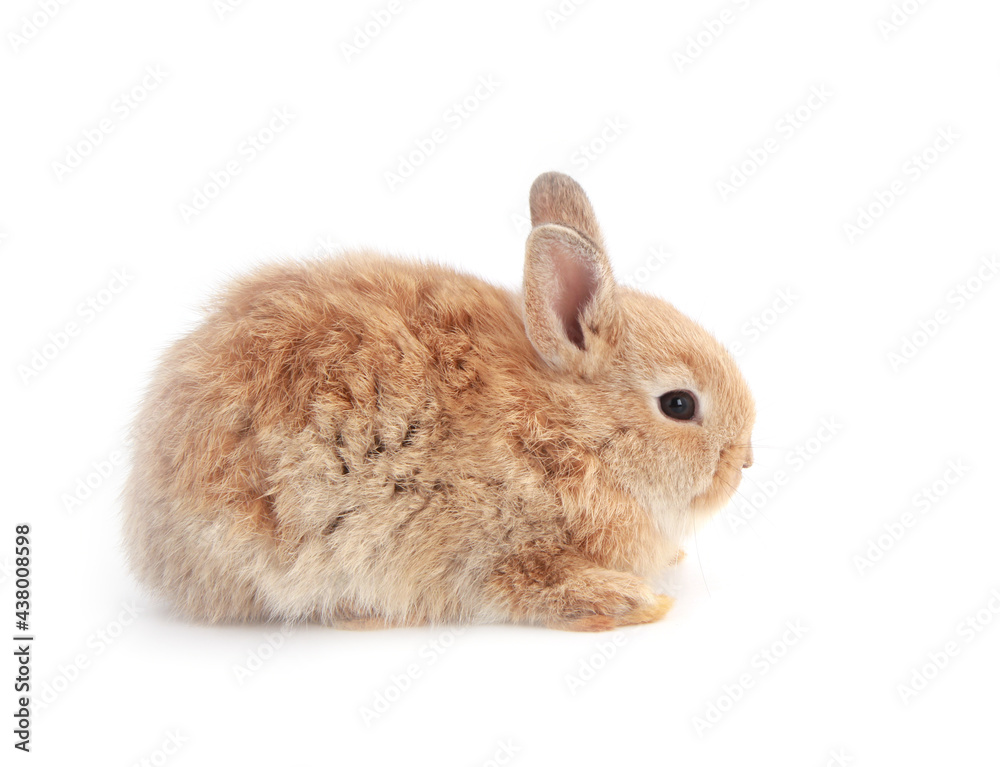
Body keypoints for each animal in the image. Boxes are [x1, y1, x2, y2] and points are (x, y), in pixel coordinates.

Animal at [122, 171, 755, 632]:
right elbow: (536, 584)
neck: (569, 430)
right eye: (679, 405)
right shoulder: (506, 544)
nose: (743, 462)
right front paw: (634, 602)